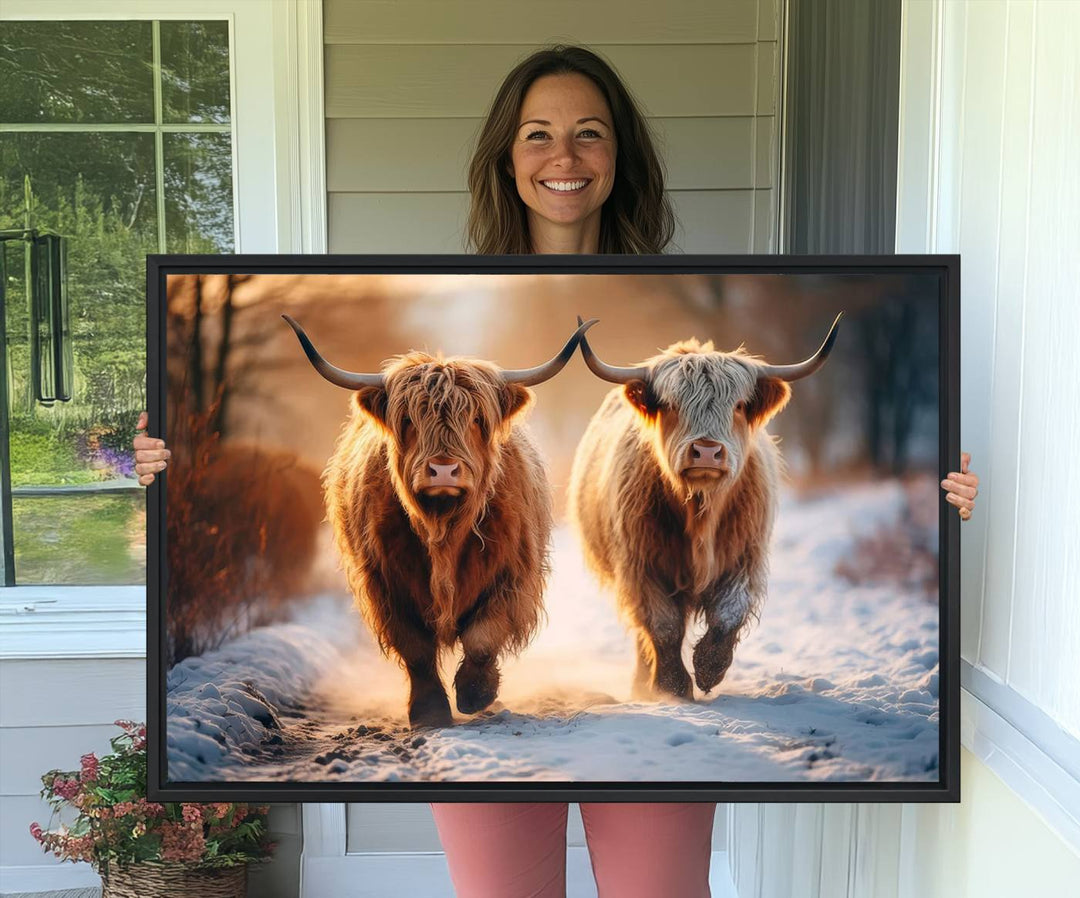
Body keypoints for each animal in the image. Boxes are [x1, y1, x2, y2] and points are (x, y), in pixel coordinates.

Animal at [282, 315, 596, 730]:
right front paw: (429, 712)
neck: (443, 527)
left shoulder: (512, 574)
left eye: (476, 418)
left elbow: (482, 638)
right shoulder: (385, 583)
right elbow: (415, 648)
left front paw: (475, 693)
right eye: (408, 419)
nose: (443, 470)